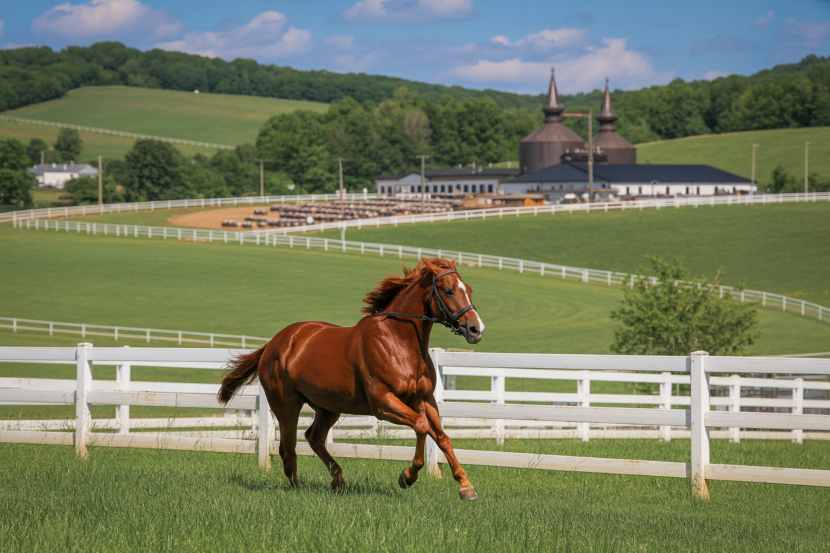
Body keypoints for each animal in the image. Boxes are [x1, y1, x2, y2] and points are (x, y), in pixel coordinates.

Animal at [217, 258, 485, 500]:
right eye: (449, 290)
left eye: (469, 289)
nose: (476, 329)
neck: (398, 342)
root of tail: (274, 343)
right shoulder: (382, 404)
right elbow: (421, 425)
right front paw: (407, 476)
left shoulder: (425, 399)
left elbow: (441, 436)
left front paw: (466, 487)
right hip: (286, 405)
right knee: (288, 448)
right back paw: (298, 487)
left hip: (328, 408)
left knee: (314, 438)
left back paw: (338, 480)